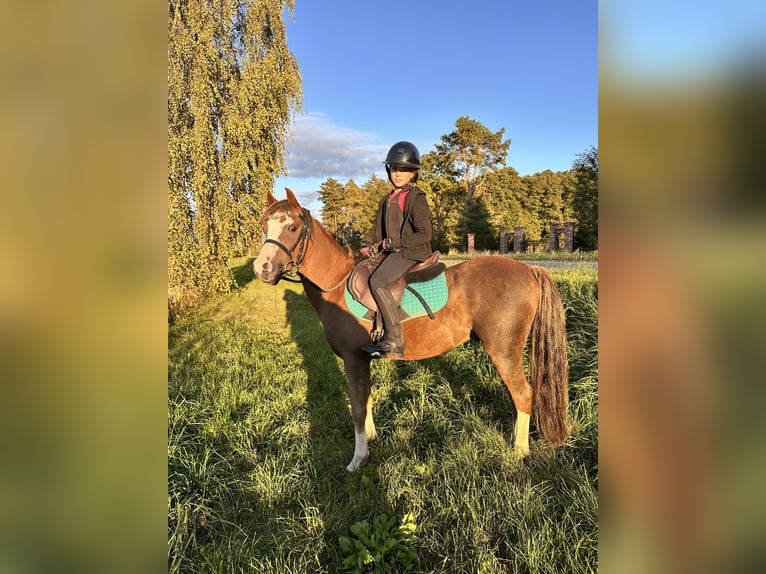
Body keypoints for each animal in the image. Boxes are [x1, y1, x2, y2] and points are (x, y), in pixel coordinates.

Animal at [253, 189, 569, 471]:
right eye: (264, 226)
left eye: (292, 227)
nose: (262, 269)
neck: (337, 286)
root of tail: (529, 269)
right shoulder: (363, 360)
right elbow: (366, 399)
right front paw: (372, 438)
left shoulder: (354, 360)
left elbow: (357, 408)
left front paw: (358, 459)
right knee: (518, 396)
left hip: (503, 351)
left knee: (523, 393)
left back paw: (519, 451)